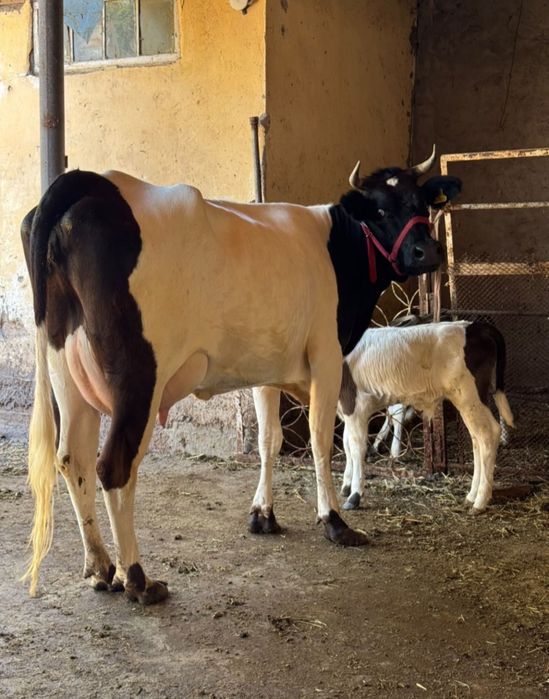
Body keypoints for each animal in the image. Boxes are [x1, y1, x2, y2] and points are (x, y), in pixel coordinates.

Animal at [20, 148, 461, 603]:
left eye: (422, 202)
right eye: (379, 209)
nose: (426, 252)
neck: (336, 246)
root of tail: (91, 181)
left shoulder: (268, 368)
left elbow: (270, 441)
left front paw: (263, 514)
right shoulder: (325, 354)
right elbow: (322, 442)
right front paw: (335, 521)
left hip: (67, 375)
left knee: (72, 459)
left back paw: (100, 568)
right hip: (138, 378)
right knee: (113, 466)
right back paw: (138, 579)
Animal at [338, 321, 514, 513]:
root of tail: (474, 326)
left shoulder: (354, 405)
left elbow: (355, 448)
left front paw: (354, 495)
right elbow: (346, 445)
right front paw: (346, 486)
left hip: (469, 395)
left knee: (488, 434)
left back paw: (480, 501)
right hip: (469, 400)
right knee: (477, 439)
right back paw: (471, 496)